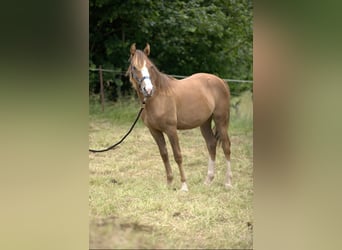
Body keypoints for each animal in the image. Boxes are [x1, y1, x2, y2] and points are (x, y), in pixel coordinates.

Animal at [128, 43, 232, 191]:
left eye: (150, 66)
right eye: (134, 67)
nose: (148, 90)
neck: (158, 98)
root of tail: (221, 81)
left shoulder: (171, 130)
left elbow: (177, 155)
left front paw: (183, 185)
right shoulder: (154, 131)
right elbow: (164, 154)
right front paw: (169, 182)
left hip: (221, 120)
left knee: (226, 146)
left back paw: (228, 182)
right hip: (205, 122)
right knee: (211, 144)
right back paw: (208, 180)